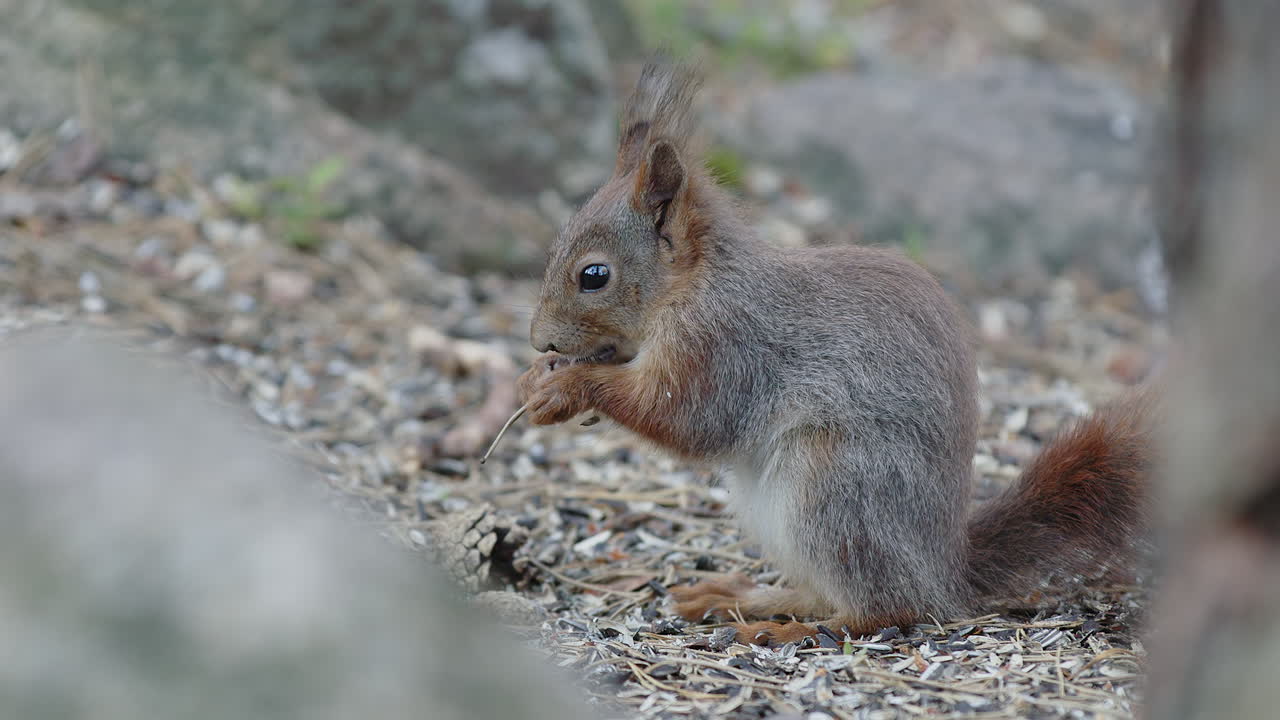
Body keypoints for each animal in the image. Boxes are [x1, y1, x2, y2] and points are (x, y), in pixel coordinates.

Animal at [517, 62, 1154, 645]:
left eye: (594, 275)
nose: (539, 338)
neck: (692, 285)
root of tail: (945, 571)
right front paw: (537, 379)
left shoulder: (726, 345)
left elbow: (685, 416)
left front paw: (570, 387)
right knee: (821, 592)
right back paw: (741, 597)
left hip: (835, 490)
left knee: (883, 609)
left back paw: (781, 630)